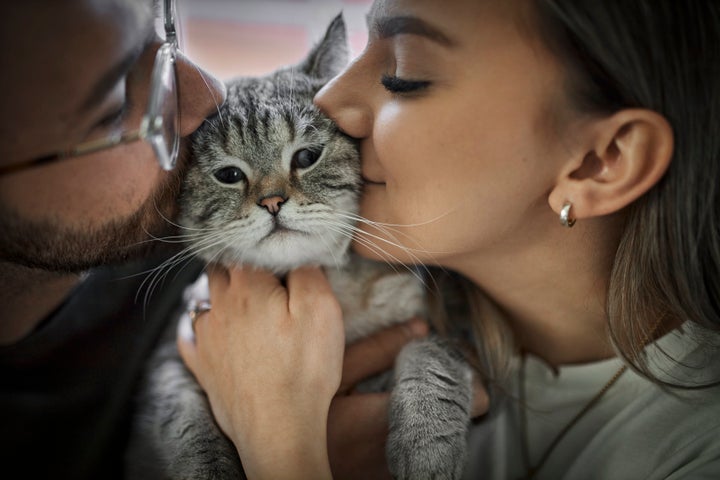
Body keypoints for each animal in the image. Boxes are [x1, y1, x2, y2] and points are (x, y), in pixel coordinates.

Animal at [126, 15, 476, 480]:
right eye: (229, 175)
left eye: (306, 157)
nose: (273, 202)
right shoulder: (171, 354)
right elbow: (186, 421)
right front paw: (209, 469)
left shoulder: (449, 324)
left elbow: (430, 357)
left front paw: (426, 444)